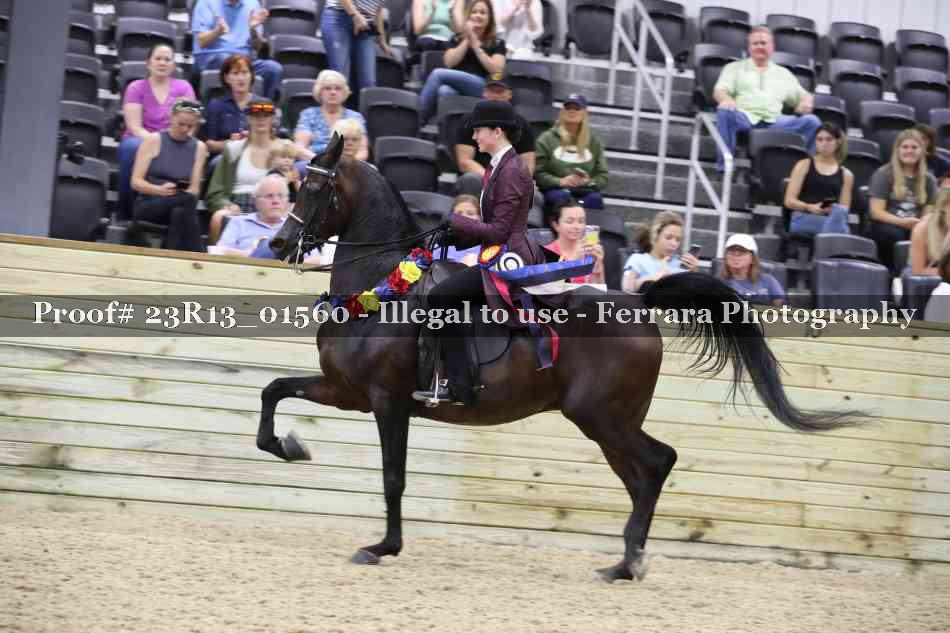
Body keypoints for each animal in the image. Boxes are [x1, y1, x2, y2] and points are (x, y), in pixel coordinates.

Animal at [259, 135, 862, 582]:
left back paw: (628, 563)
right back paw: (624, 563)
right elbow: (273, 391)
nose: (279, 244)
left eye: (314, 186)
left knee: (658, 462)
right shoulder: (347, 392)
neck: (381, 287)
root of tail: (639, 302)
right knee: (643, 475)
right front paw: (291, 446)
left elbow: (392, 477)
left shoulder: (387, 401)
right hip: (607, 423)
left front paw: (383, 546)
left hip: (603, 417)